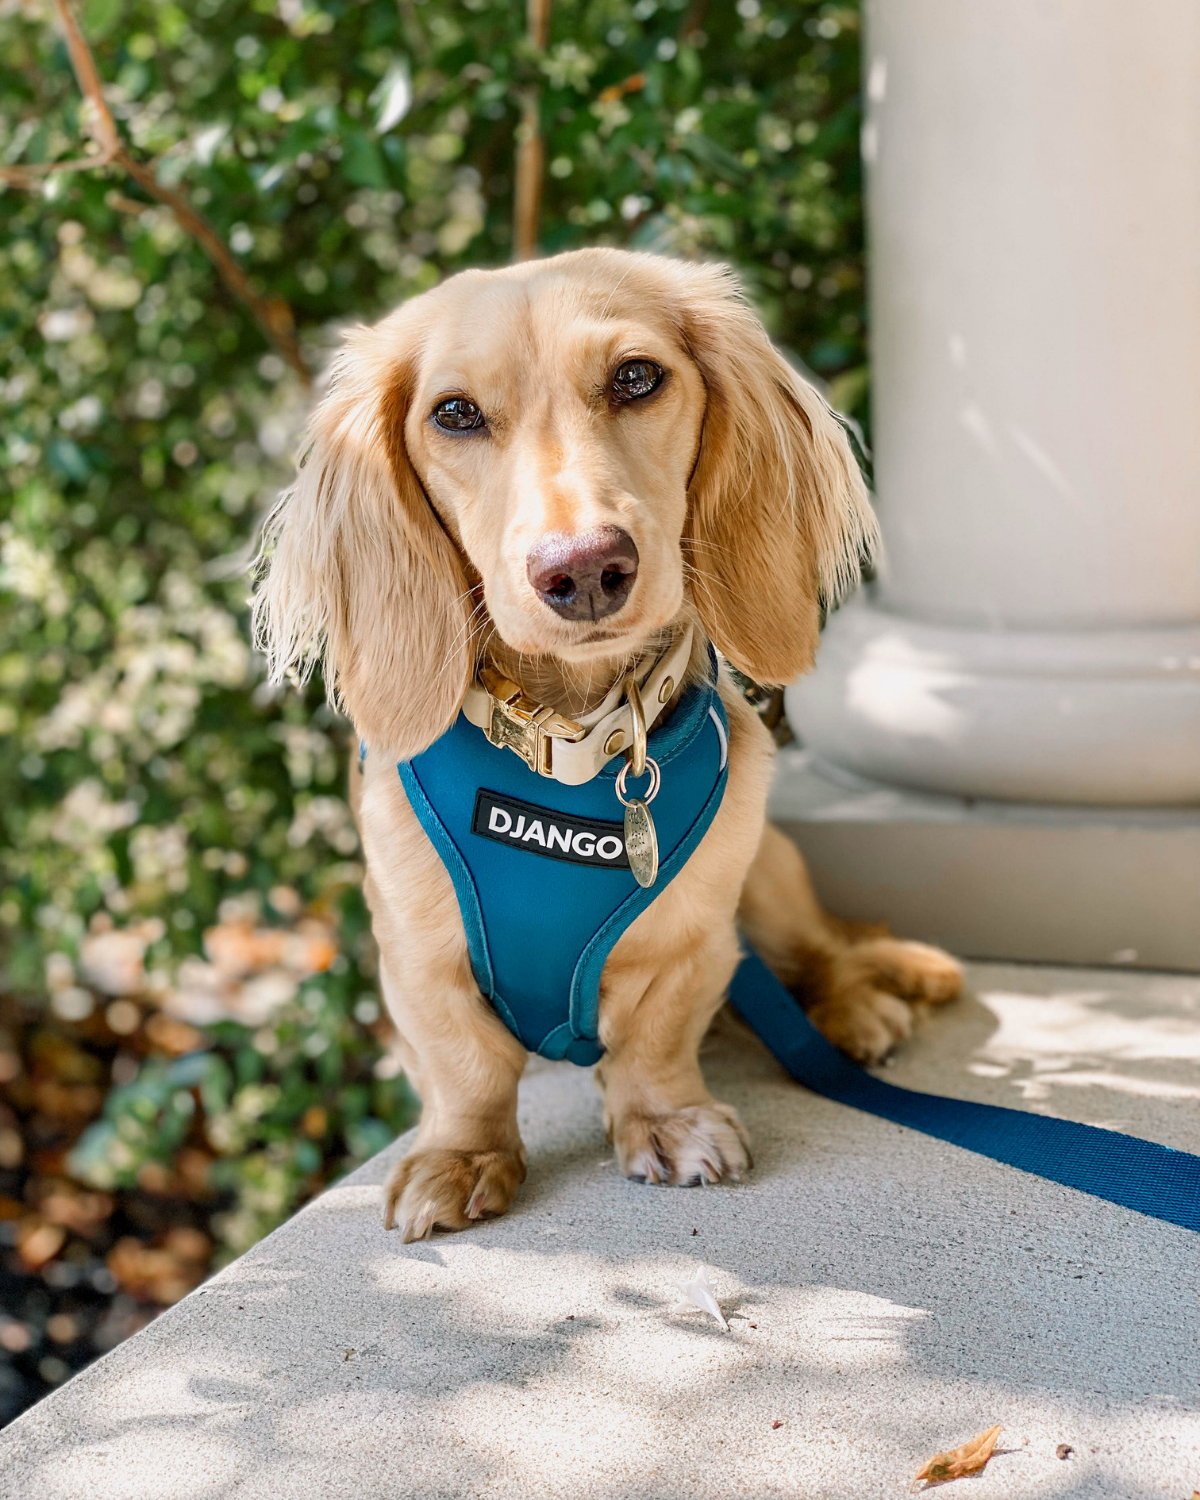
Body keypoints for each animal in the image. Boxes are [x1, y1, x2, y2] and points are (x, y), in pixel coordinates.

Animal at [250, 249, 954, 1242]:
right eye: (454, 413)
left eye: (636, 378)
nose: (583, 569)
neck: (571, 746)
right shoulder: (414, 953)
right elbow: (464, 1064)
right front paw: (461, 1157)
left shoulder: (697, 933)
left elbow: (655, 1038)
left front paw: (665, 1122)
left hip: (767, 876)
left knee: (819, 952)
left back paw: (856, 1004)